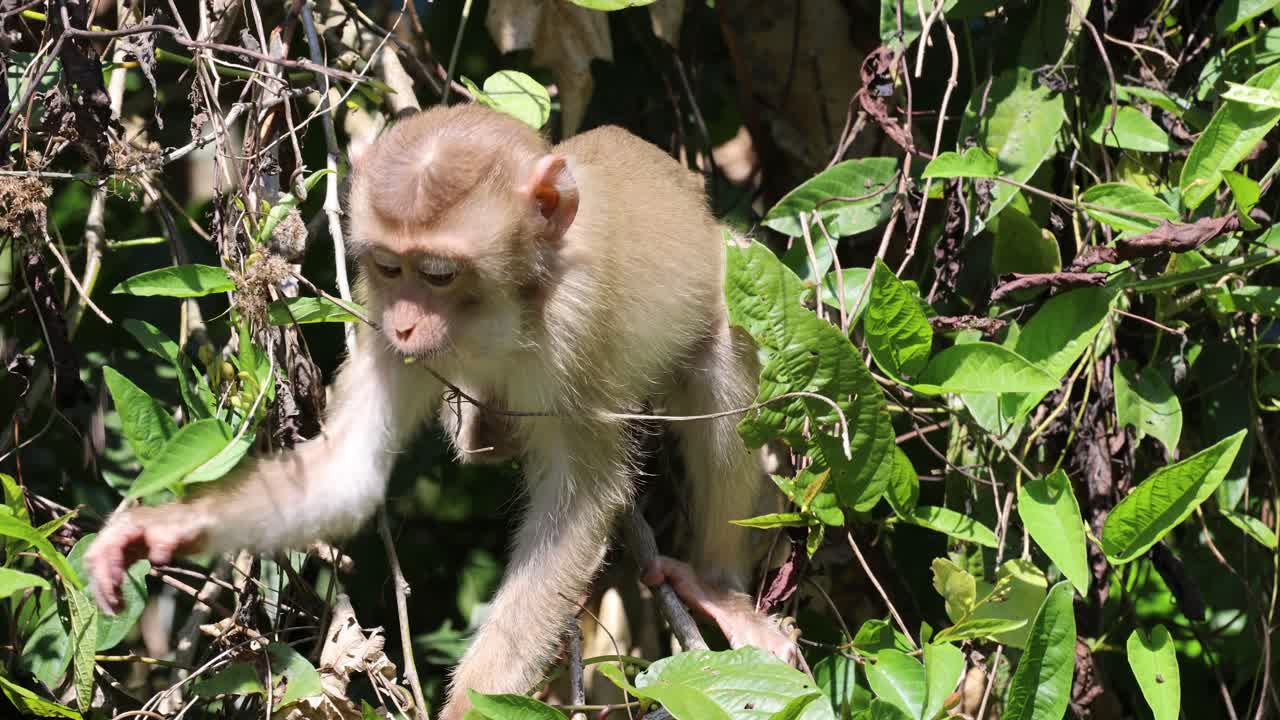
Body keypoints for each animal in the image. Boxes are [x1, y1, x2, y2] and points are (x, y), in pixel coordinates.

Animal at [87, 103, 798, 720]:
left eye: (437, 274)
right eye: (389, 267)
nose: (406, 325)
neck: (512, 301)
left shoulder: (578, 324)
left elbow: (582, 501)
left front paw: (469, 706)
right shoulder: (374, 313)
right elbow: (345, 476)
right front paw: (163, 529)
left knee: (727, 355)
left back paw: (717, 588)